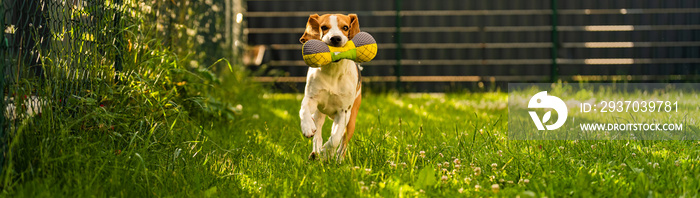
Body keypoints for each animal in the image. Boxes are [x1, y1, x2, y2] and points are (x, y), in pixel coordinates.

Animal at [298, 13, 360, 162]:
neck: (333, 70)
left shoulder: (344, 112)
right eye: (324, 27)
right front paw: (307, 127)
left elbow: (335, 138)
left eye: (345, 27)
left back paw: (338, 159)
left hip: (351, 121)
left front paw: (327, 153)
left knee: (343, 143)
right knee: (318, 132)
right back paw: (315, 152)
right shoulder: (311, 98)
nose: (335, 38)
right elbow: (303, 110)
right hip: (319, 114)